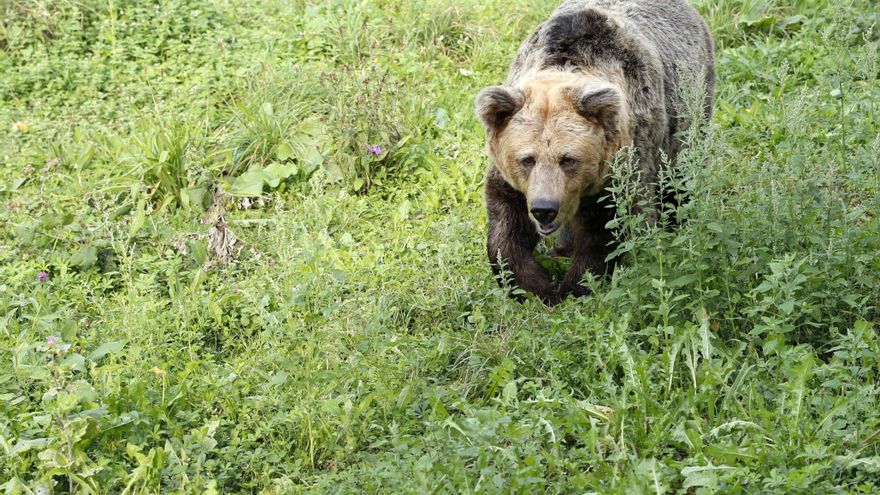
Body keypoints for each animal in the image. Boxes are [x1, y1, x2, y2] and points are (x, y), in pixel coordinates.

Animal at [474, 0, 716, 306]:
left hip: (688, 107)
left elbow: (611, 228)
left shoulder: (625, 159)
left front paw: (575, 285)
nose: (544, 209)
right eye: (527, 159)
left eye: (568, 159)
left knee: (679, 174)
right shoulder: (512, 180)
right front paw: (535, 286)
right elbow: (506, 228)